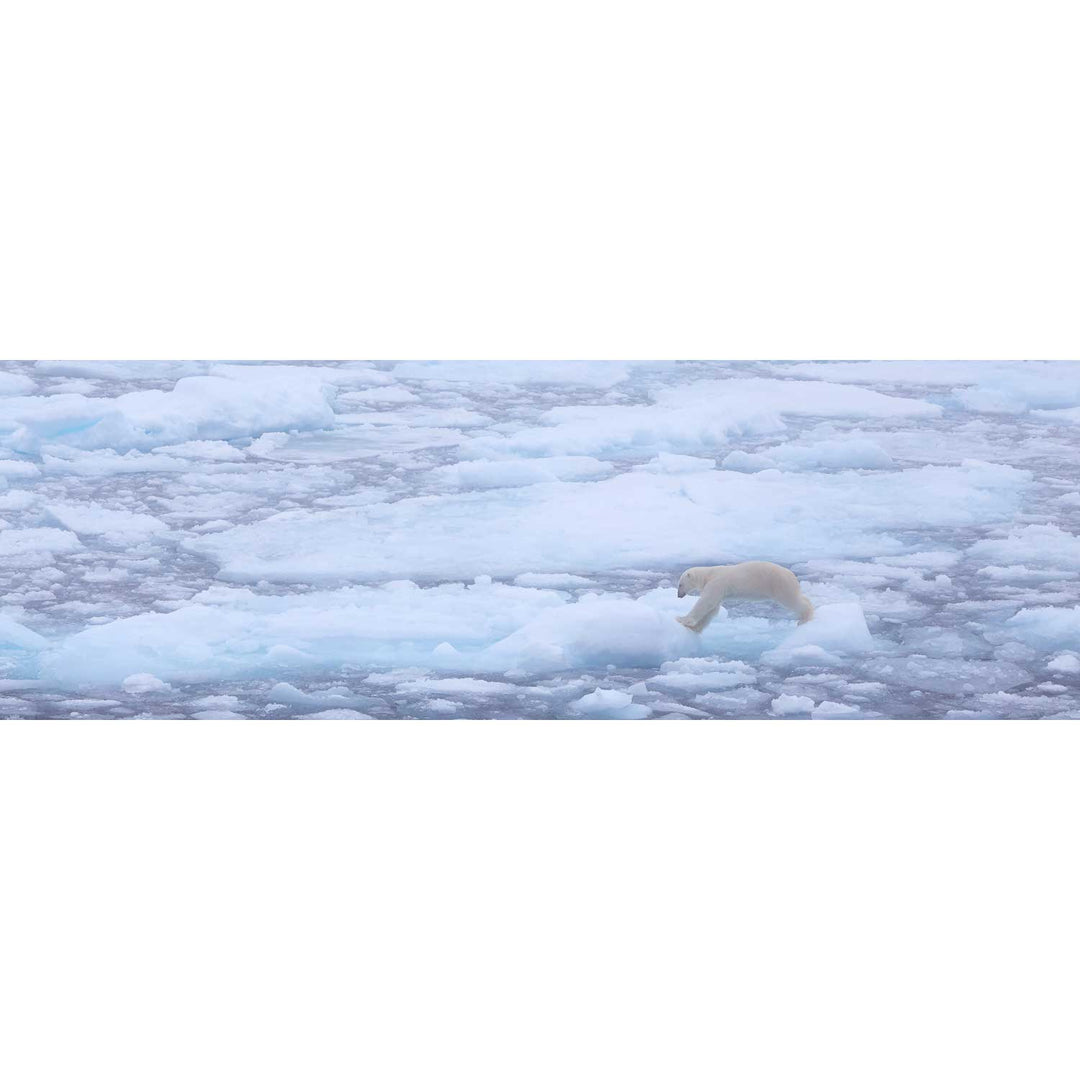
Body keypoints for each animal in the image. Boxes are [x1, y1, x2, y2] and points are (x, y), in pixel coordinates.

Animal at [669, 561, 812, 630]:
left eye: (680, 585)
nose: (679, 595)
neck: (709, 573)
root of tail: (792, 574)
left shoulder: (716, 583)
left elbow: (705, 603)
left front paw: (682, 619)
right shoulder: (718, 589)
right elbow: (712, 609)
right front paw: (695, 628)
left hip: (778, 584)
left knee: (792, 600)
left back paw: (805, 618)